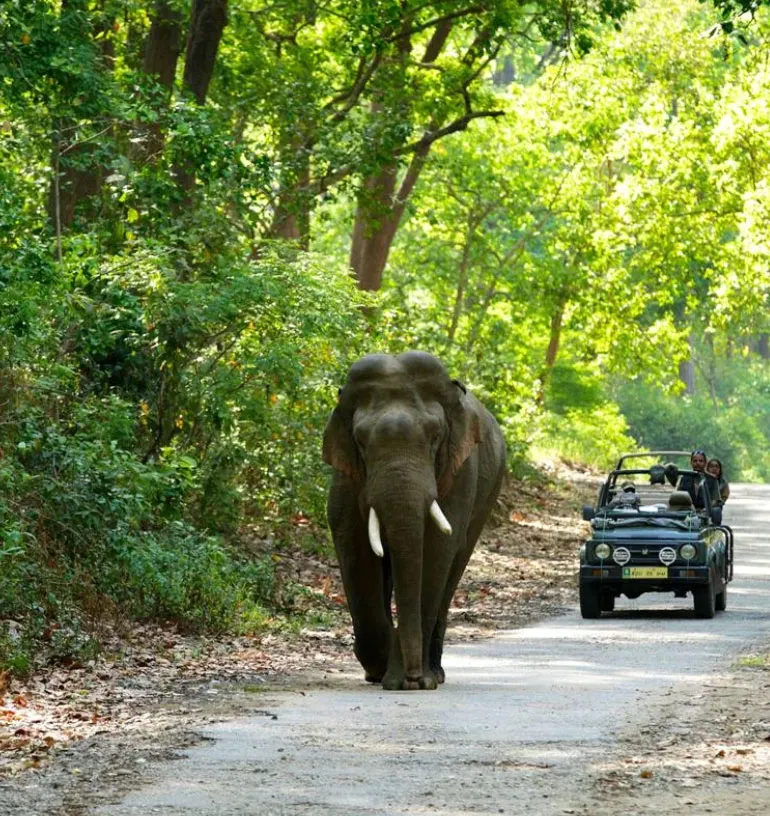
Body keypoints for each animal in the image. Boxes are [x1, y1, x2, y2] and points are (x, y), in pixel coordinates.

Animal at [322, 351, 506, 690]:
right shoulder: (345, 476)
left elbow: (436, 549)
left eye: (435, 438)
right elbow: (354, 546)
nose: (411, 677)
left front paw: (413, 681)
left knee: (453, 569)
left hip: (488, 493)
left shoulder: (459, 473)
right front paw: (384, 670)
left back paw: (435, 673)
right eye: (361, 442)